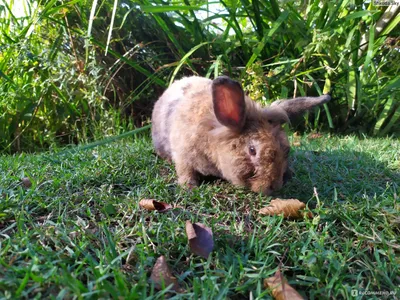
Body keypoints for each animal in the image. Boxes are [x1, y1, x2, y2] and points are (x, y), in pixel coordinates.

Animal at [152, 76, 330, 196]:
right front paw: (189, 187)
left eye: (287, 150)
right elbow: (185, 172)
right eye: (252, 150)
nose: (274, 187)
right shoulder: (183, 157)